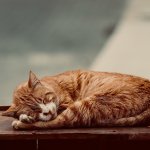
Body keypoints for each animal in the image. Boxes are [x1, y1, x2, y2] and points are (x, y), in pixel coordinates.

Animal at [2, 69, 150, 129]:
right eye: (34, 111)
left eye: (43, 100)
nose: (48, 112)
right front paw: (27, 117)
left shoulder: (67, 104)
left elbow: (53, 117)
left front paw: (25, 118)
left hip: (87, 104)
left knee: (58, 123)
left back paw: (21, 123)